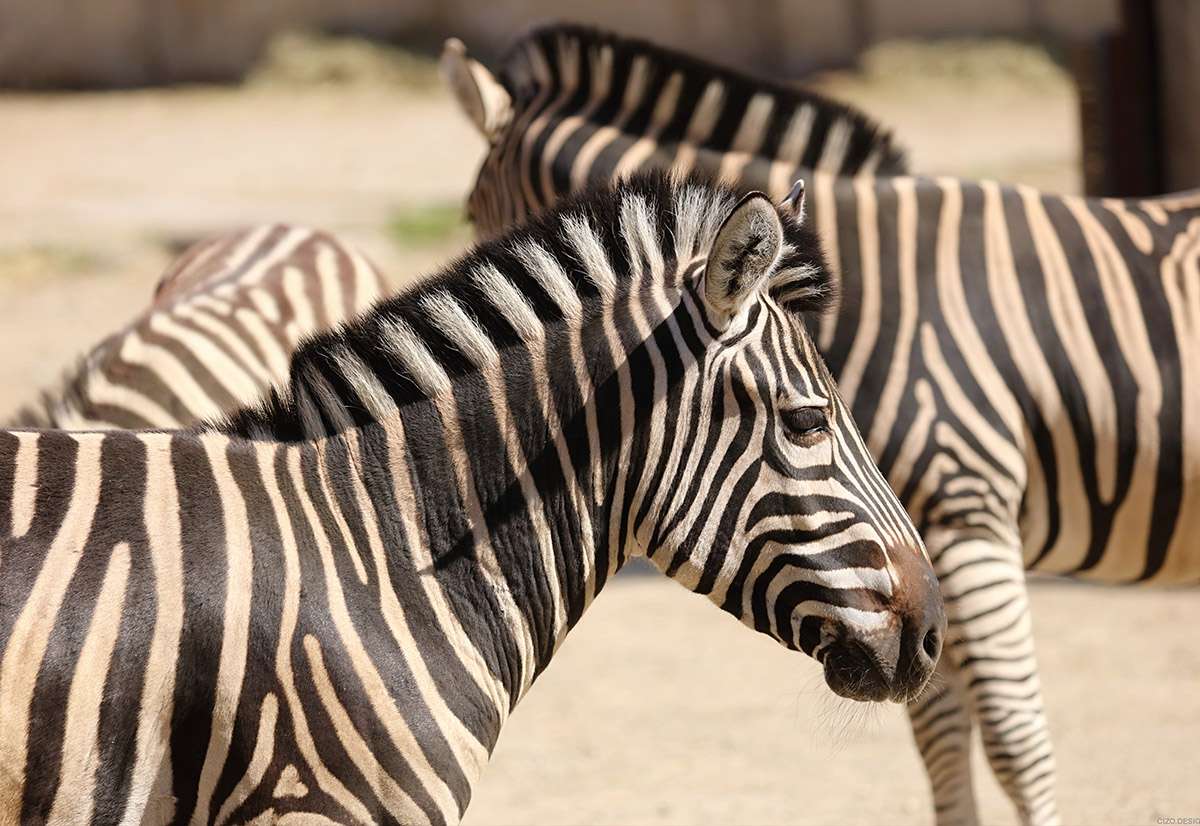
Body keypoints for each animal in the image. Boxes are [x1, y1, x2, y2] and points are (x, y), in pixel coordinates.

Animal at [445, 25, 1200, 826]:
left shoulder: (966, 510)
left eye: (472, 218)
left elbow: (1015, 744)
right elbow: (939, 735)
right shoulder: (906, 565)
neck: (879, 292)